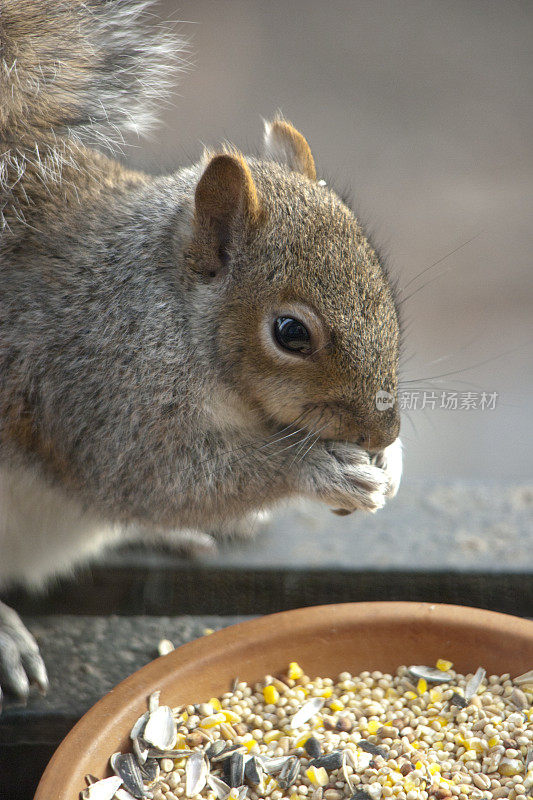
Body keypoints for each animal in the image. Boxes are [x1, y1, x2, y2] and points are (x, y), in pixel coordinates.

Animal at [0, 0, 400, 704]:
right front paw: (318, 469)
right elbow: (154, 477)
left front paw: (394, 462)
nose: (386, 430)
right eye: (290, 333)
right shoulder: (95, 388)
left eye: (380, 280)